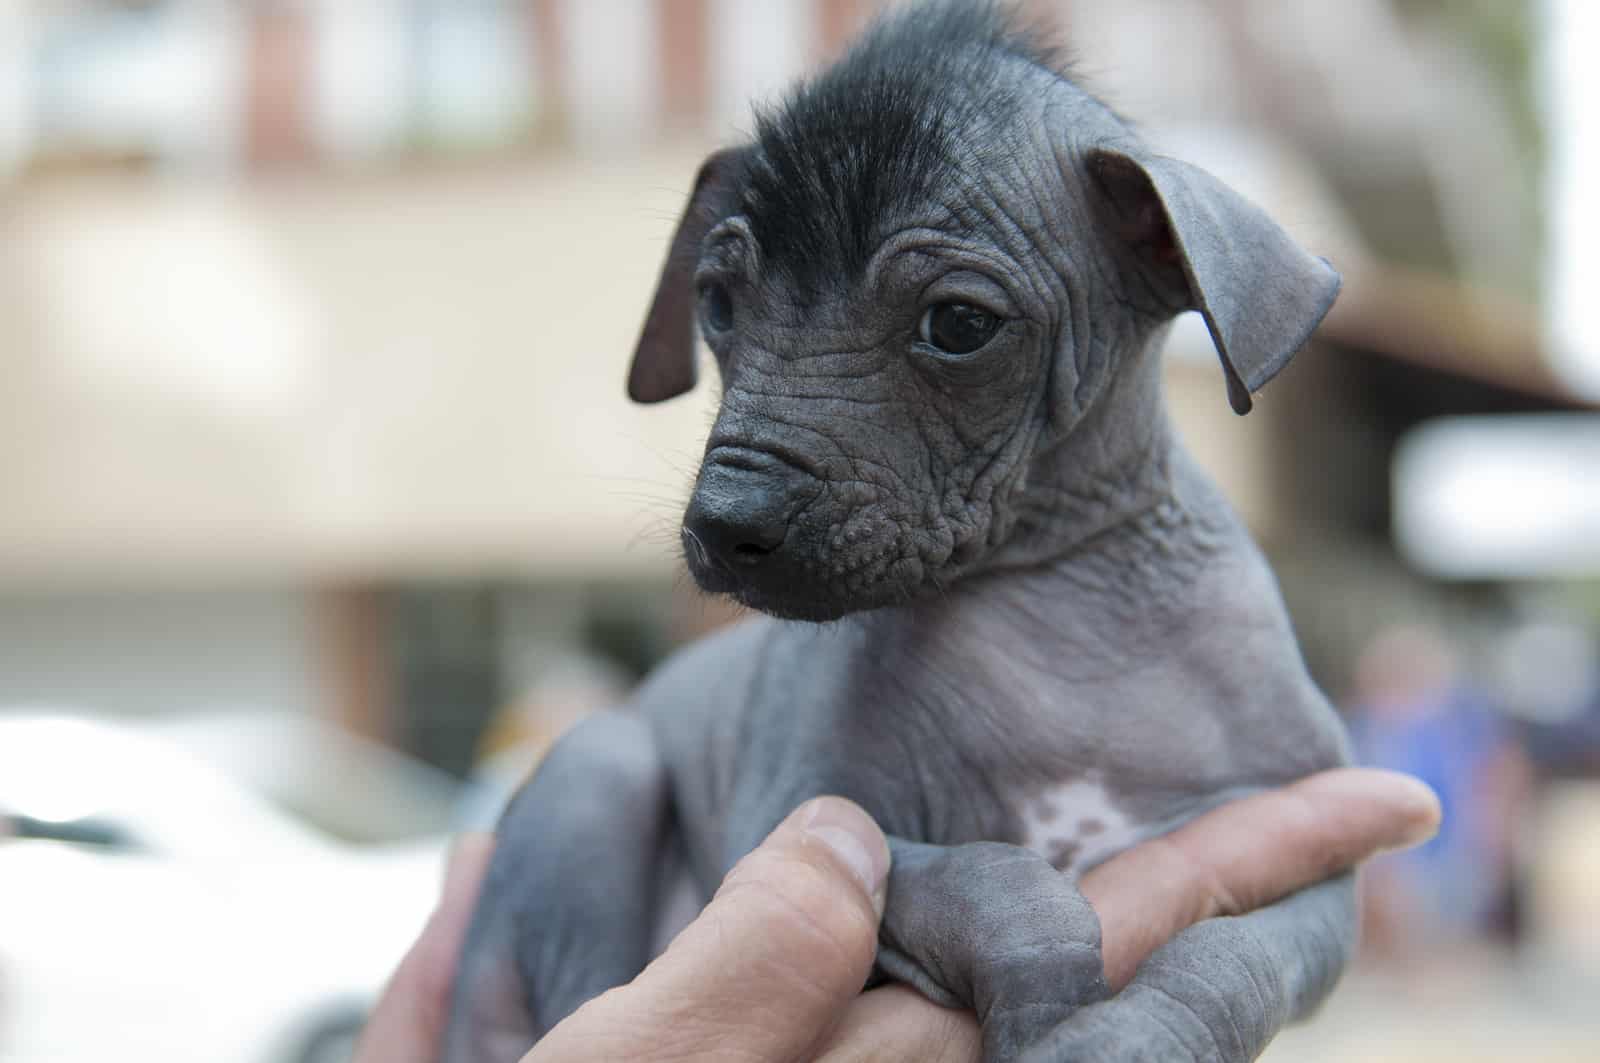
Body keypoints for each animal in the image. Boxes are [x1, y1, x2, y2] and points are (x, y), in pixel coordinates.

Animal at [444, 4, 1356, 1056]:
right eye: (716, 304)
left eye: (958, 324)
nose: (728, 520)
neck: (1054, 583)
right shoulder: (791, 822)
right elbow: (1000, 882)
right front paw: (1049, 1005)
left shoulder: (1315, 859)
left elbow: (1235, 955)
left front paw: (1136, 1033)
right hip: (601, 766)